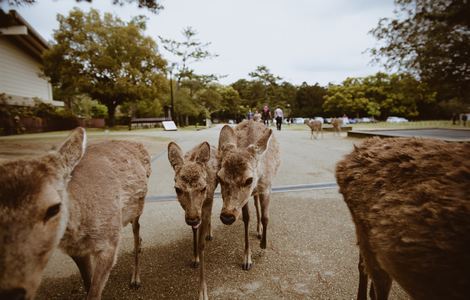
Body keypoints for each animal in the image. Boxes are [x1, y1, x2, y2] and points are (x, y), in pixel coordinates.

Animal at [0, 127, 151, 300]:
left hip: (138, 208)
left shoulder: (110, 241)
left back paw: (135, 278)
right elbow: (87, 283)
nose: (11, 293)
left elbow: (94, 292)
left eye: (54, 208)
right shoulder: (76, 251)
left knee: (136, 230)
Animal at [168, 141, 219, 300]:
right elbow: (194, 231)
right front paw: (194, 257)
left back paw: (209, 233)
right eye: (177, 189)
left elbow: (202, 244)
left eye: (203, 188)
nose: (192, 218)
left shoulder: (207, 200)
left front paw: (202, 291)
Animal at [217, 120, 280, 270]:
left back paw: (259, 231)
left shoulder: (267, 188)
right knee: (255, 204)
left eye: (249, 179)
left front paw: (263, 244)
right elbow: (246, 218)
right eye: (219, 177)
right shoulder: (246, 198)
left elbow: (266, 217)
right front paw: (247, 259)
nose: (227, 217)